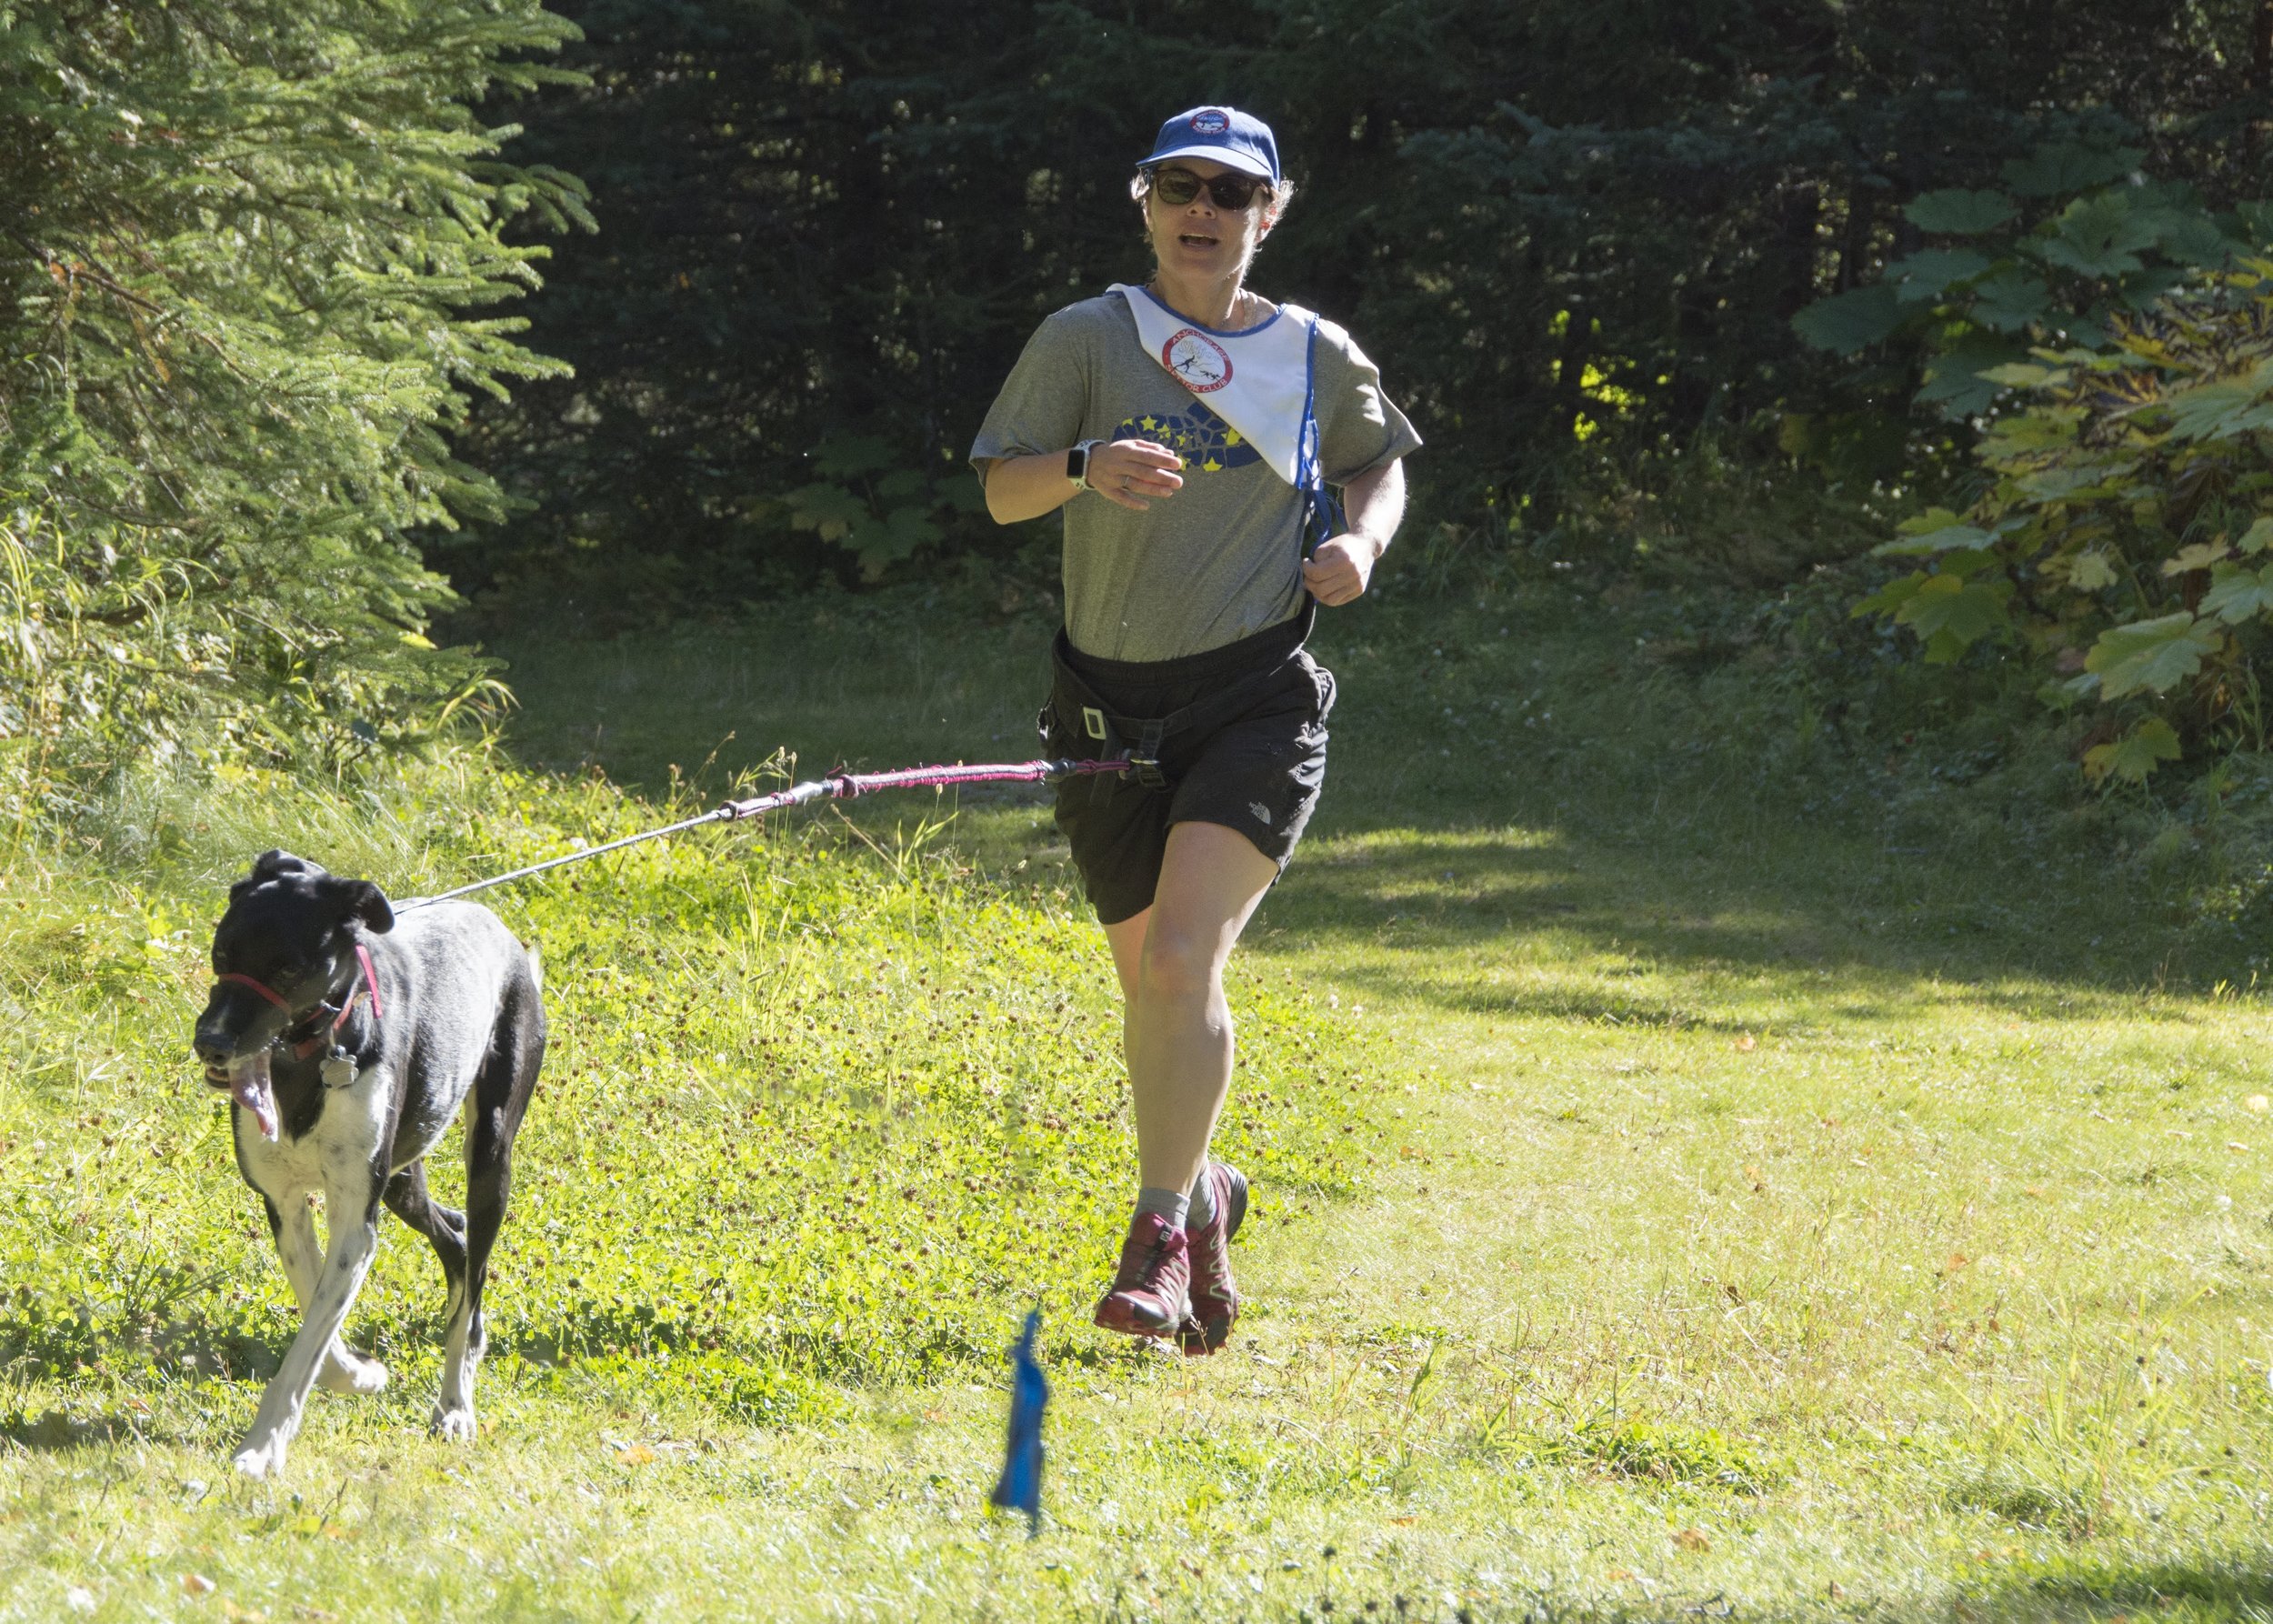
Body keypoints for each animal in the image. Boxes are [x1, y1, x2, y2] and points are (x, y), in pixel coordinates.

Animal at [186, 855, 541, 1473]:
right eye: (223, 953)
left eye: (287, 969)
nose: (211, 1043)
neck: (307, 1058)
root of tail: (498, 929)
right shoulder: (285, 1202)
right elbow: (314, 1313)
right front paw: (357, 1374)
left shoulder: (356, 1217)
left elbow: (307, 1341)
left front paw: (261, 1447)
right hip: (401, 1177)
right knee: (455, 1237)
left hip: (490, 1160)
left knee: (472, 1275)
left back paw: (455, 1404)